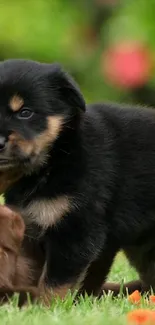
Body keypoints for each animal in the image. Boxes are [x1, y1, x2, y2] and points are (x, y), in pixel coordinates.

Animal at [0, 58, 154, 304]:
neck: (57, 157)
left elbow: (54, 283)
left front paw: (46, 308)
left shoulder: (76, 229)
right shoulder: (30, 231)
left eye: (25, 113)